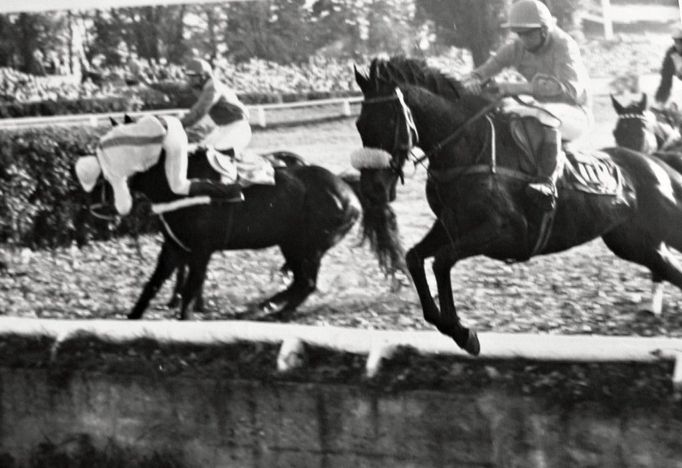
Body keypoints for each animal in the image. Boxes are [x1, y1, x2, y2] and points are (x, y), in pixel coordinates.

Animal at [350, 55, 682, 354]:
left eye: (390, 120)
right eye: (360, 123)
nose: (372, 188)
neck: (468, 150)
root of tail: (655, 162)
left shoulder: (505, 231)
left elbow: (442, 260)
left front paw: (461, 331)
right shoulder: (451, 224)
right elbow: (414, 257)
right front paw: (450, 326)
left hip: (658, 229)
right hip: (633, 243)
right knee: (667, 266)